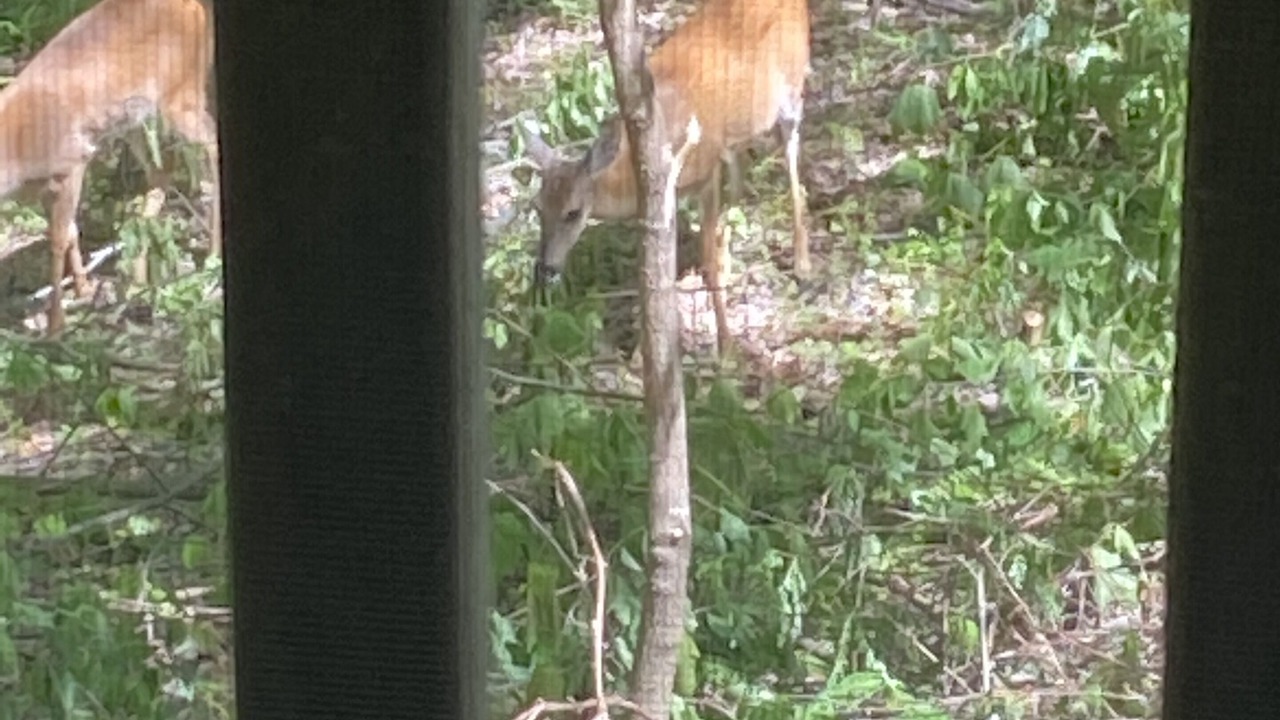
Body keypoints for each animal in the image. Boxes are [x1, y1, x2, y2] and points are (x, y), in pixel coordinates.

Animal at [0, 0, 219, 335]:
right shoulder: (47, 186)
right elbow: (70, 230)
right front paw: (83, 290)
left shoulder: (71, 161)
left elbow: (58, 238)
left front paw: (55, 324)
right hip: (136, 119)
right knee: (160, 172)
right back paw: (138, 278)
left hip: (182, 94)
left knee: (211, 147)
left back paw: (212, 253)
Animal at [521, 0, 812, 356]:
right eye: (537, 206)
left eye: (573, 212)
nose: (545, 269)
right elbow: (655, 275)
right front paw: (642, 354)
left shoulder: (705, 172)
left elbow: (705, 262)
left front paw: (727, 345)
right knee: (741, 177)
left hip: (791, 91)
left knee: (792, 159)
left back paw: (802, 264)